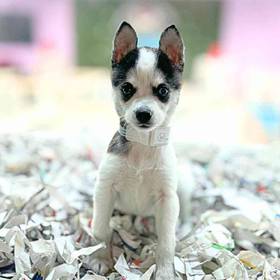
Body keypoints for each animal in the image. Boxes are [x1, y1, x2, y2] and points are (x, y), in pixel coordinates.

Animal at [92, 20, 190, 278]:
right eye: (127, 88)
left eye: (163, 91)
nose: (143, 113)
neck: (142, 146)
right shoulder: (105, 190)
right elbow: (99, 230)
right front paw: (98, 257)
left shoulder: (167, 200)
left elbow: (166, 243)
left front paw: (165, 271)